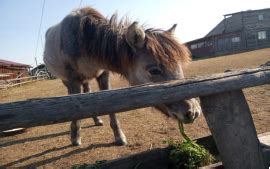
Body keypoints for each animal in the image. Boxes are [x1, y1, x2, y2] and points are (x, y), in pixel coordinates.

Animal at [43, 7, 200, 146]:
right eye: (154, 71)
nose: (193, 112)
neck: (83, 40)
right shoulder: (72, 79)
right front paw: (75, 137)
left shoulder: (103, 75)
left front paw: (119, 136)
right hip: (66, 80)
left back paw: (97, 120)